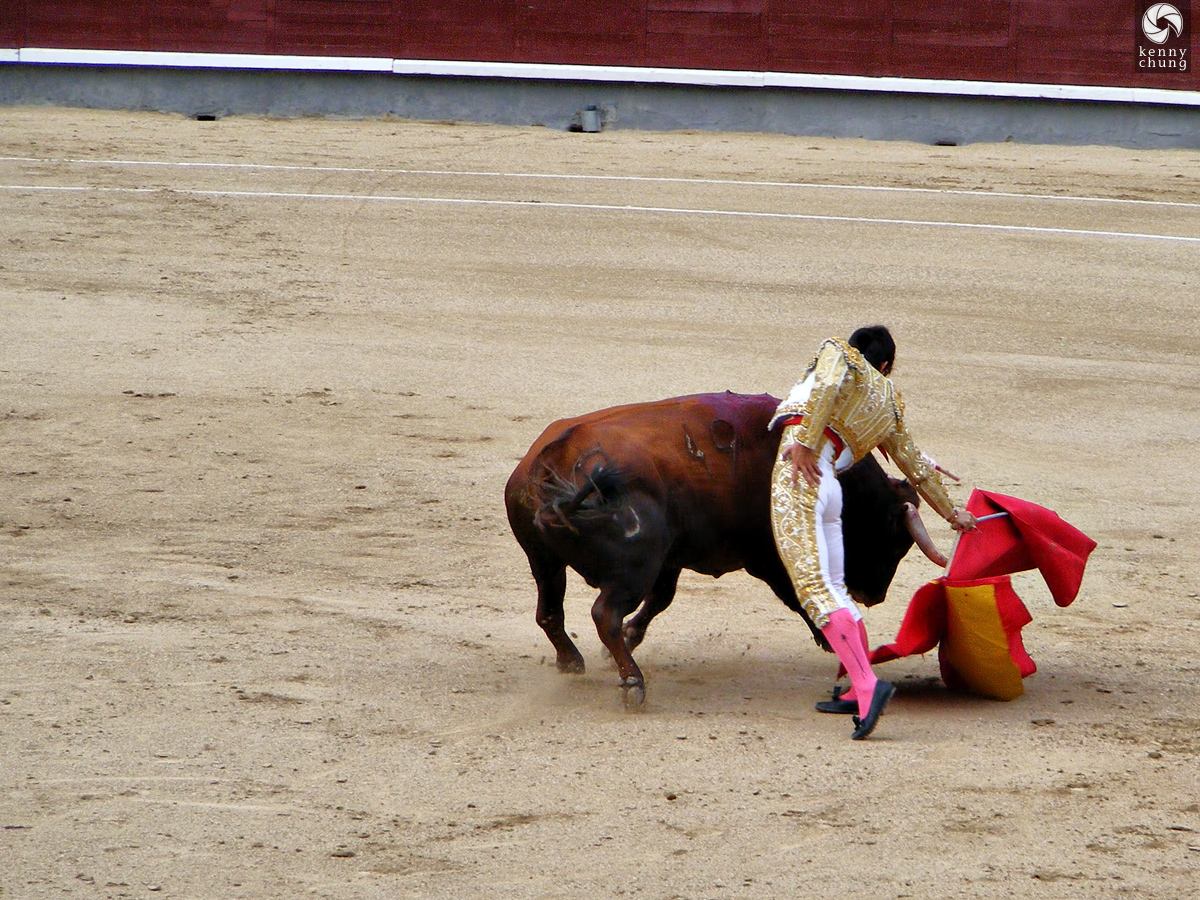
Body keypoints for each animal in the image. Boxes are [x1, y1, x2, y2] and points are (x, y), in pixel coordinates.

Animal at [501, 391, 940, 710]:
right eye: (894, 542)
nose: (875, 595)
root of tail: (554, 457)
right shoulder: (767, 559)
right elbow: (798, 598)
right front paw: (832, 641)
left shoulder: (671, 559)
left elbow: (661, 600)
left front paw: (631, 634)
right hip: (633, 569)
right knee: (603, 614)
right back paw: (632, 683)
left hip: (545, 562)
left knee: (550, 612)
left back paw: (572, 661)